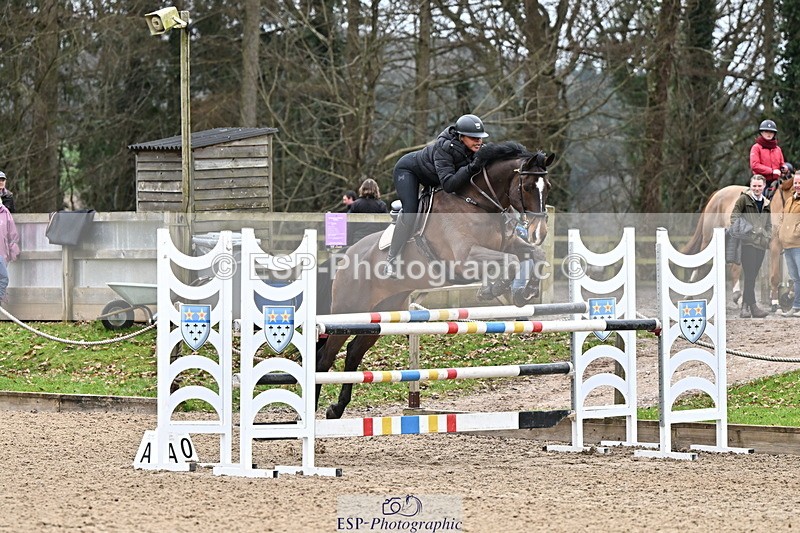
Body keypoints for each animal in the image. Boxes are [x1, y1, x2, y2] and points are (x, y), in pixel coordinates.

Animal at [315, 142, 555, 419]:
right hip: (348, 311)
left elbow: (533, 255)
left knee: (353, 353)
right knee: (325, 358)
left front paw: (525, 291)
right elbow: (510, 262)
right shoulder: (466, 258)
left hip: (382, 312)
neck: (479, 203)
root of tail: (345, 257)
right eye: (527, 187)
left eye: (547, 187)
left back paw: (336, 409)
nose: (540, 232)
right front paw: (494, 289)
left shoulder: (509, 244)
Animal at [682, 179, 790, 310]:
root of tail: (718, 193)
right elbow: (775, 276)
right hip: (709, 239)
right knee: (702, 263)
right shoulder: (775, 246)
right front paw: (775, 303)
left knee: (733, 266)